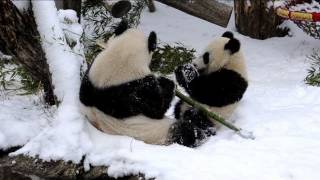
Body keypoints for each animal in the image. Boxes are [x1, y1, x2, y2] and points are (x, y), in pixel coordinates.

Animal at [78, 21, 208, 147]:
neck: (120, 57)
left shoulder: (90, 78)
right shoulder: (139, 91)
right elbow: (158, 108)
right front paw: (166, 83)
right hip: (161, 133)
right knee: (187, 132)